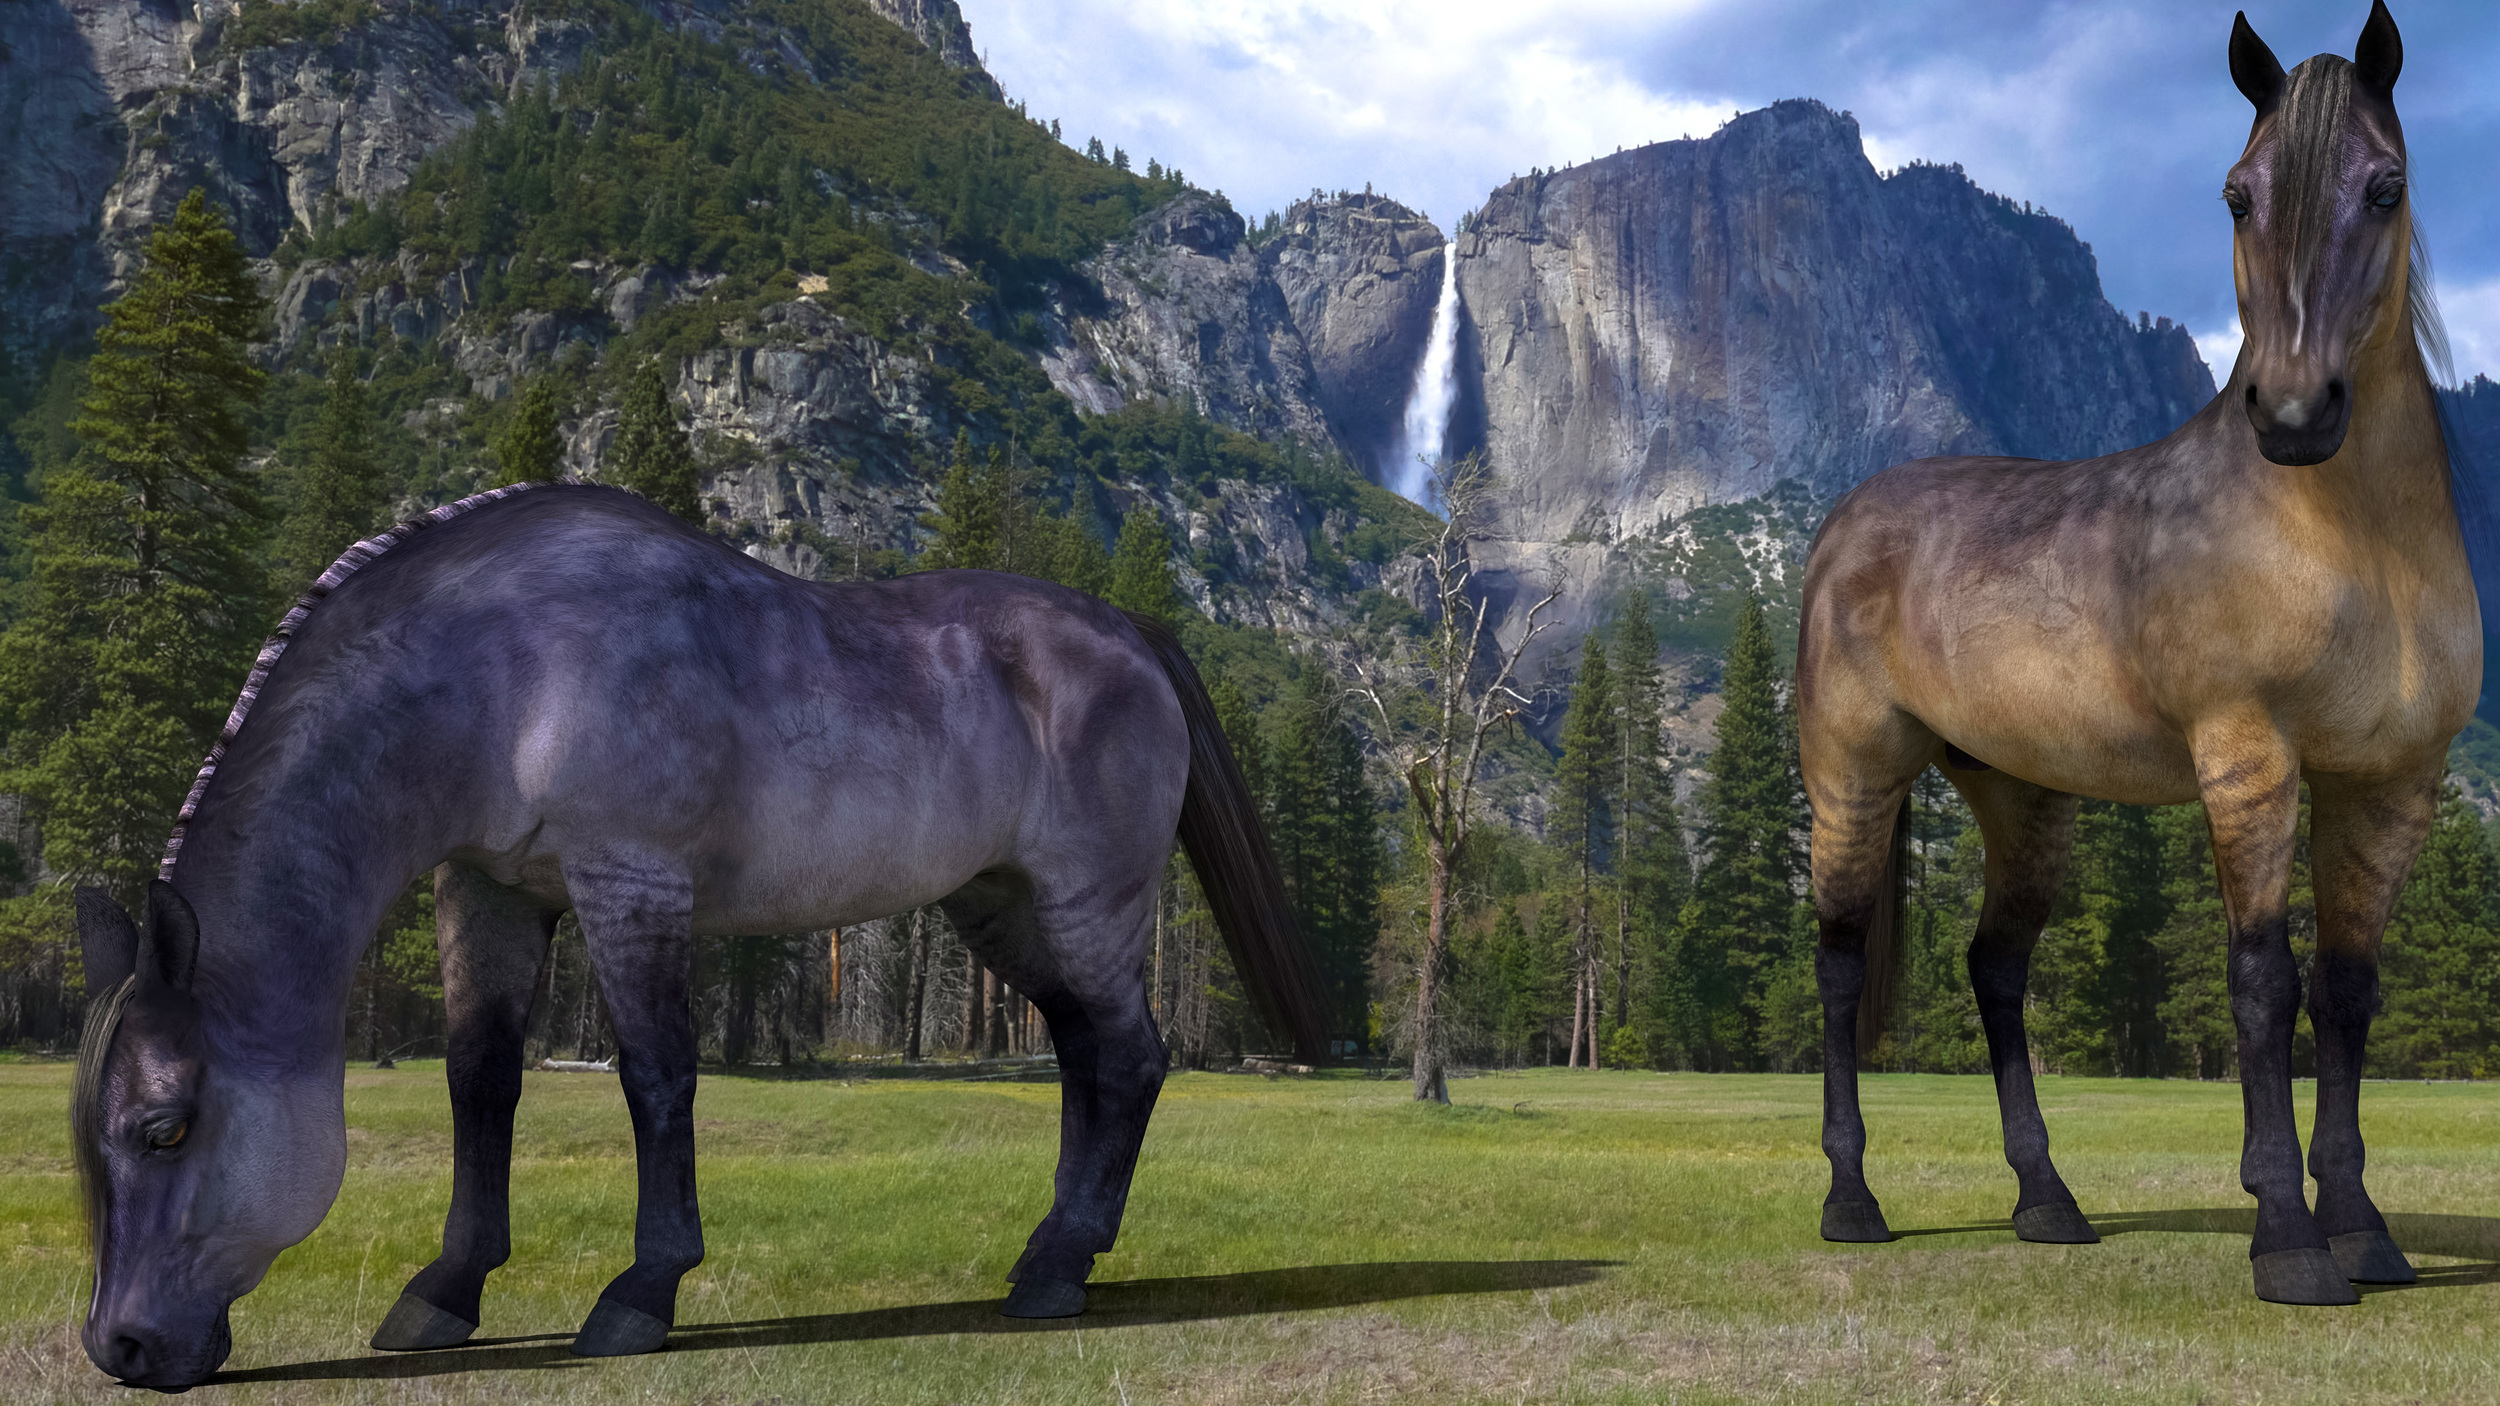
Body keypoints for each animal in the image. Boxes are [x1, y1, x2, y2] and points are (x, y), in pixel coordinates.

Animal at [73, 477, 1330, 1380]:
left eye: (164, 1127)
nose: (121, 1348)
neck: (507, 668)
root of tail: (1125, 629)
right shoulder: (486, 888)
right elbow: (480, 1081)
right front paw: (446, 1288)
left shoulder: (630, 880)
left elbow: (654, 1074)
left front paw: (642, 1292)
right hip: (1002, 905)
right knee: (1082, 1056)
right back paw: (1049, 1254)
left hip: (1085, 901)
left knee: (1131, 1056)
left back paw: (1061, 1267)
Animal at [1800, 2, 2480, 1300]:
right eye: (2234, 195)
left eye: (2384, 187)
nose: (2293, 414)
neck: (2353, 542)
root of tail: (1845, 522)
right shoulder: (2248, 760)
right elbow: (2262, 981)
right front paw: (2288, 1239)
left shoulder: (2387, 785)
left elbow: (2348, 990)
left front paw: (2363, 1227)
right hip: (1852, 778)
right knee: (1843, 960)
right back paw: (1851, 1201)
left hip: (2021, 797)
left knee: (1995, 967)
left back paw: (2046, 1202)